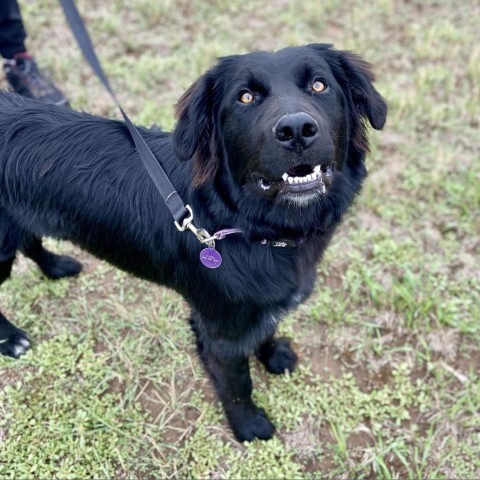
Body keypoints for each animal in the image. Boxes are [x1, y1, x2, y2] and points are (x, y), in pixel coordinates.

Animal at [0, 43, 384, 440]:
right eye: (245, 97)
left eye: (320, 85)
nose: (296, 130)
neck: (245, 226)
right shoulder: (219, 332)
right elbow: (237, 386)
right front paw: (249, 427)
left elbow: (268, 327)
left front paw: (273, 354)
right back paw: (12, 338)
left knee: (31, 242)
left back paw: (57, 266)